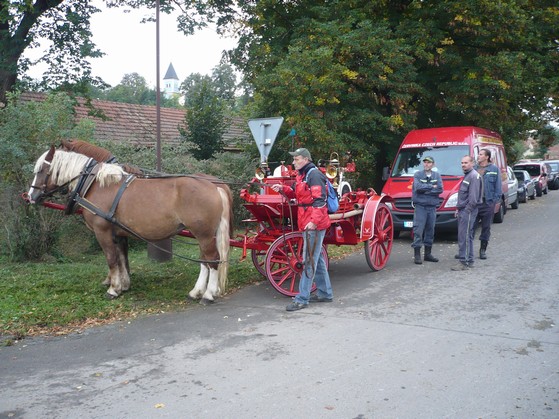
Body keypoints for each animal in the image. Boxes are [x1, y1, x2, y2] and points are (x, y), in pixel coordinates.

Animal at [25, 146, 232, 304]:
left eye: (41, 171)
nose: (31, 196)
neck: (95, 184)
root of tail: (213, 184)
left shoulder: (103, 232)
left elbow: (111, 259)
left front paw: (113, 289)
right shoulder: (118, 234)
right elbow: (121, 259)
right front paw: (123, 285)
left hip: (204, 234)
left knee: (213, 260)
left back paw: (208, 294)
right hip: (203, 234)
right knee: (205, 261)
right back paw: (196, 291)